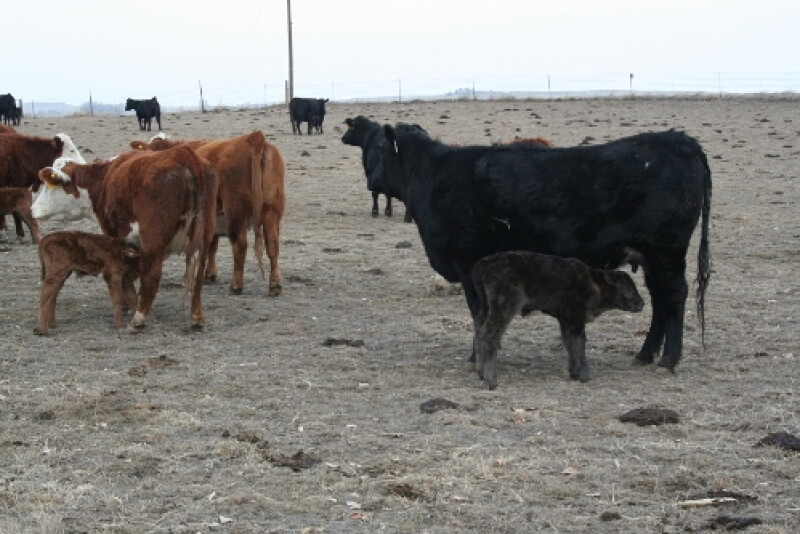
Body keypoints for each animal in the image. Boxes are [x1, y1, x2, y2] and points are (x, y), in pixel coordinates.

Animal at [37, 145, 218, 330]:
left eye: (47, 187)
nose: (33, 209)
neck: (103, 178)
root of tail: (184, 154)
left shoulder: (112, 233)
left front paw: (125, 304)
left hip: (153, 238)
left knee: (153, 275)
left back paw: (139, 318)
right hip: (204, 234)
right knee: (197, 275)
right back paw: (196, 317)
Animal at [129, 131, 286, 296]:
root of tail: (253, 137)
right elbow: (212, 245)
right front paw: (209, 274)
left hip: (236, 211)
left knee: (240, 245)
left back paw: (236, 285)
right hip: (272, 210)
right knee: (272, 244)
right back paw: (275, 285)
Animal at [371, 124, 712, 374]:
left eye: (381, 149)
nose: (372, 182)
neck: (435, 175)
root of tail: (679, 139)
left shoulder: (469, 264)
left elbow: (478, 311)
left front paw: (476, 356)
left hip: (666, 251)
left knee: (674, 295)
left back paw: (669, 360)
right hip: (652, 255)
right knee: (659, 299)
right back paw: (645, 354)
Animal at [472, 250, 645, 388]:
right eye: (629, 288)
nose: (642, 303)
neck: (594, 284)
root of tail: (487, 261)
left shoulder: (565, 320)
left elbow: (569, 343)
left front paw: (574, 373)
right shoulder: (576, 319)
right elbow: (579, 344)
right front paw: (585, 375)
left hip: (486, 307)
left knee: (479, 330)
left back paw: (481, 373)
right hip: (504, 307)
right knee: (490, 334)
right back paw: (492, 381)